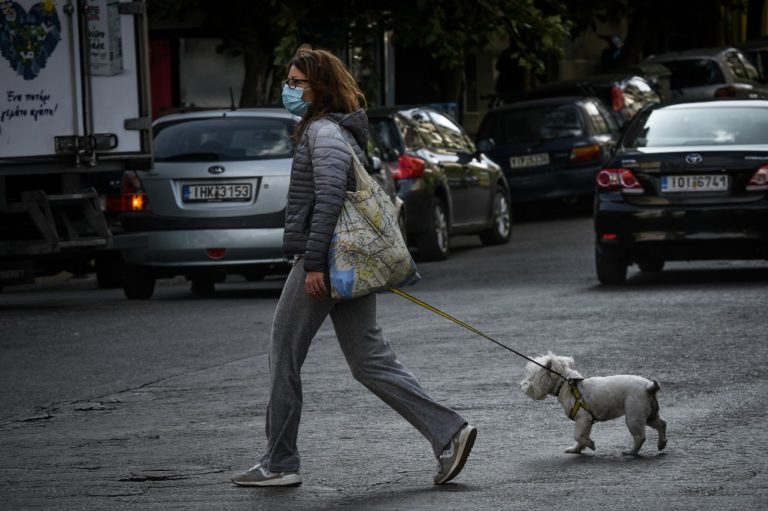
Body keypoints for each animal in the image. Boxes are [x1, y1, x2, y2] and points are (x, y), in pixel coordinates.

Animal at [520, 352, 664, 456]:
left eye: (532, 378)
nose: (522, 385)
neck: (566, 386)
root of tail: (648, 387)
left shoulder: (582, 419)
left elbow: (578, 436)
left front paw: (590, 444)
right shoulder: (586, 422)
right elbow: (581, 437)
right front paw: (576, 449)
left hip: (634, 416)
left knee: (640, 437)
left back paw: (631, 452)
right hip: (649, 415)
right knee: (662, 424)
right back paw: (661, 444)